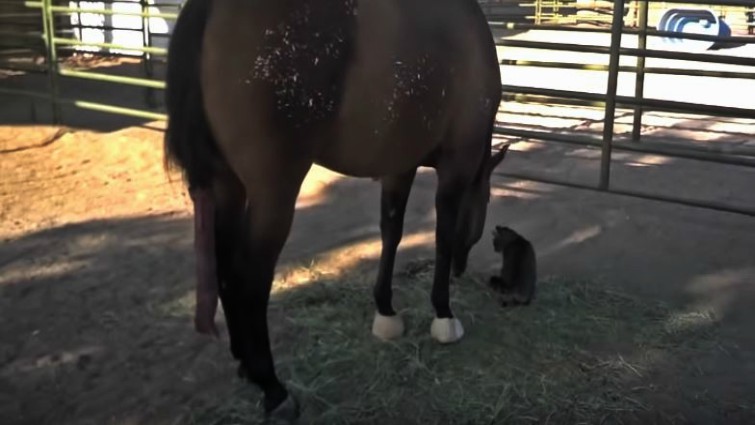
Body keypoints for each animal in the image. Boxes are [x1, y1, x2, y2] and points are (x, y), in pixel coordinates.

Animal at [164, 0, 507, 420]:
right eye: (485, 203)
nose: (462, 269)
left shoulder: (399, 166)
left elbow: (391, 232)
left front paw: (386, 311)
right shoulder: (458, 163)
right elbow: (441, 236)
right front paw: (443, 314)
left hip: (226, 185)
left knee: (225, 268)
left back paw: (245, 364)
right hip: (273, 191)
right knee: (249, 279)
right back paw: (273, 389)